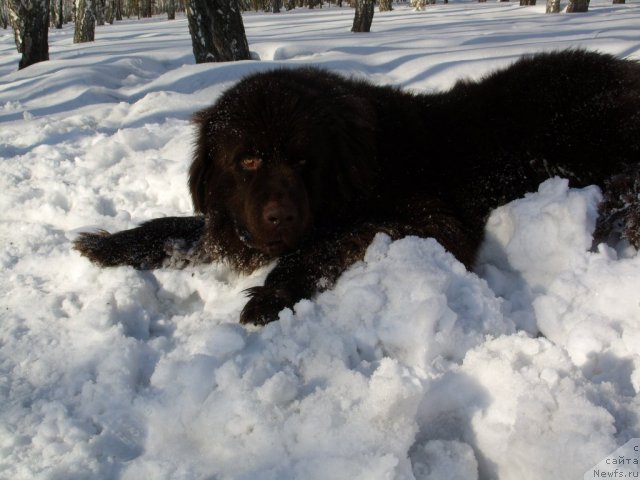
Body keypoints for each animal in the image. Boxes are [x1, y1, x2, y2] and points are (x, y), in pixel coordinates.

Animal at [75, 48, 640, 324]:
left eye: (304, 160)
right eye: (249, 159)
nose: (279, 216)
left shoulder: (431, 221)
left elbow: (323, 245)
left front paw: (272, 294)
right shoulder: (233, 223)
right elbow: (178, 228)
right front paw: (107, 244)